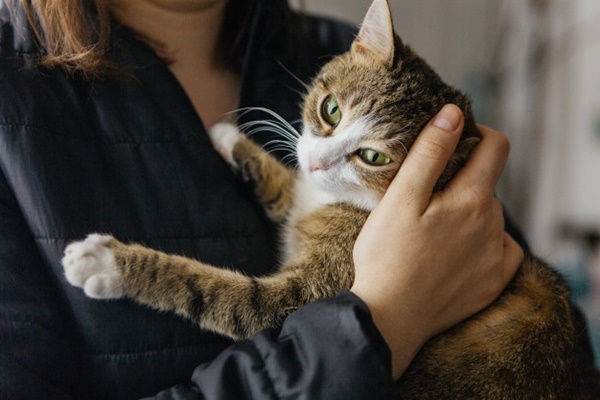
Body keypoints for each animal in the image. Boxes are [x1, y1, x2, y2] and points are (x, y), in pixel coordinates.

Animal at [63, 0, 584, 396]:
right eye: (331, 109)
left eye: (373, 156)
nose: (317, 162)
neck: (348, 206)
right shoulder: (306, 188)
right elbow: (289, 188)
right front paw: (231, 139)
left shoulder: (315, 290)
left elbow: (227, 296)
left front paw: (108, 263)